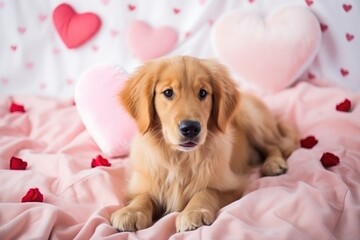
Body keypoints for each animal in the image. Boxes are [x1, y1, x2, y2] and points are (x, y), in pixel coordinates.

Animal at [110, 55, 298, 232]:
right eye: (168, 92)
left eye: (202, 93)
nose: (191, 128)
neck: (180, 158)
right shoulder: (141, 184)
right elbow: (143, 196)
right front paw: (131, 211)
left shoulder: (231, 185)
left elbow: (207, 190)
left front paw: (194, 211)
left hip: (251, 117)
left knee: (274, 145)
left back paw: (273, 164)